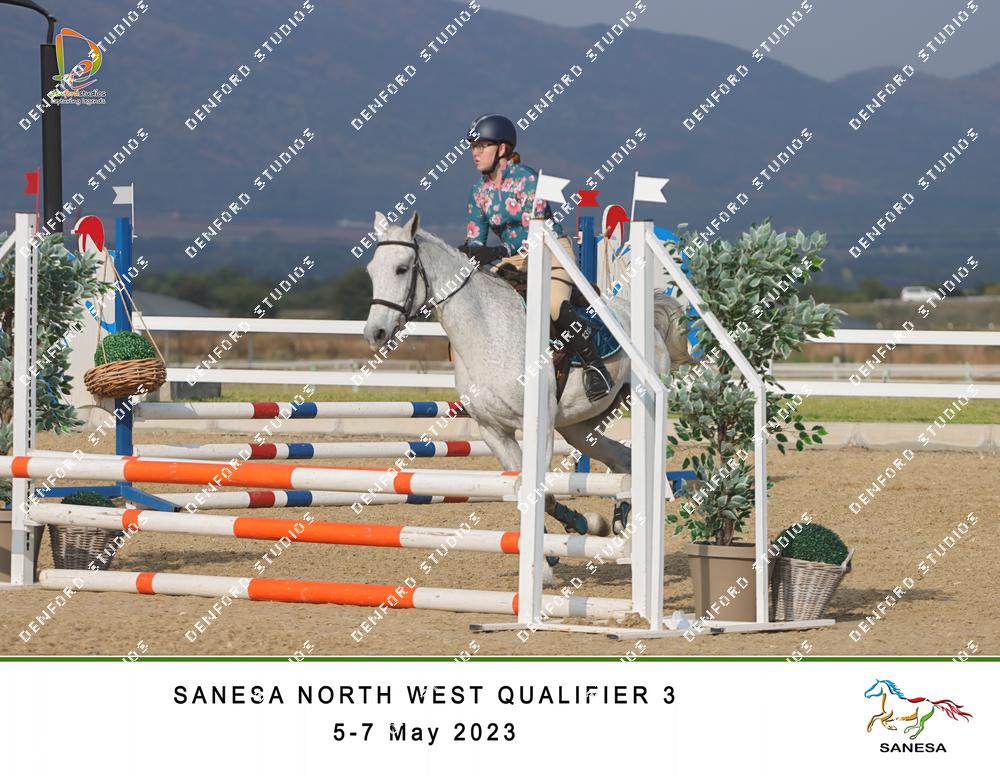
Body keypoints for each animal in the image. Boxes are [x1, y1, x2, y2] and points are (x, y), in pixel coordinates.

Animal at [362, 211, 692, 557]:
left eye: (401, 268)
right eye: (371, 270)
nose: (374, 333)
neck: (485, 332)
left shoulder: (540, 427)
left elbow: (538, 492)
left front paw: (559, 544)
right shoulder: (494, 431)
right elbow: (530, 493)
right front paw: (576, 530)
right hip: (580, 429)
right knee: (623, 461)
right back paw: (618, 518)